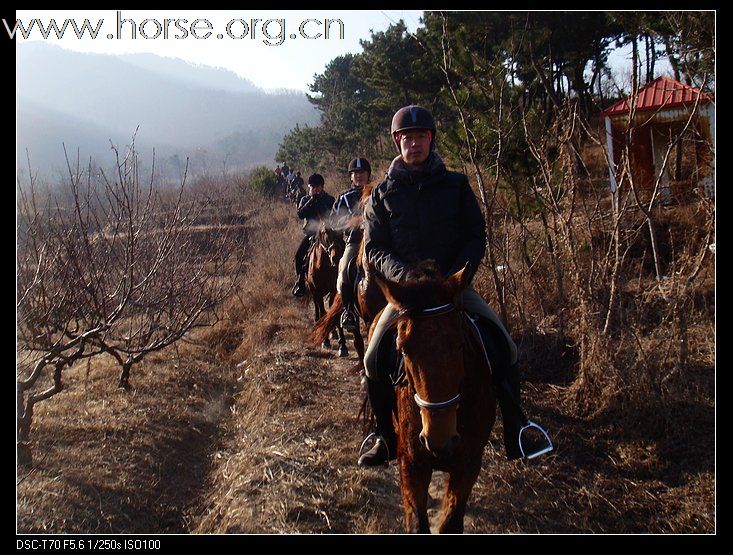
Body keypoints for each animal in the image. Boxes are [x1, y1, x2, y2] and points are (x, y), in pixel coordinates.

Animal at [304, 222, 348, 356]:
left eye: (342, 231)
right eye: (324, 232)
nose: (336, 257)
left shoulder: (334, 291)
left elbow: (335, 314)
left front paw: (342, 345)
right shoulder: (317, 292)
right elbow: (323, 312)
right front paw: (325, 341)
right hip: (314, 293)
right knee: (318, 309)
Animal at [374, 262, 494, 536]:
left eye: (461, 343)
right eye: (403, 349)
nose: (439, 439)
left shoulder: (469, 463)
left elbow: (451, 522)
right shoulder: (411, 463)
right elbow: (418, 523)